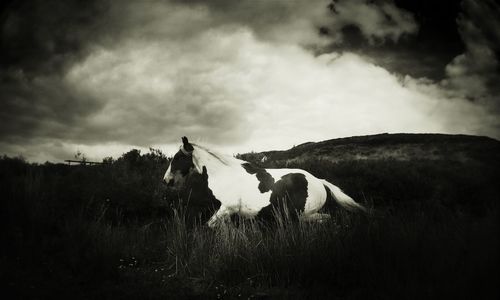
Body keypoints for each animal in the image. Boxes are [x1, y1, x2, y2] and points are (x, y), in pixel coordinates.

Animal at [164, 137, 368, 227]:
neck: (224, 174)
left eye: (177, 157)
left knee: (324, 219)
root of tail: (319, 181)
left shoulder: (227, 208)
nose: (167, 180)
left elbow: (209, 226)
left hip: (303, 214)